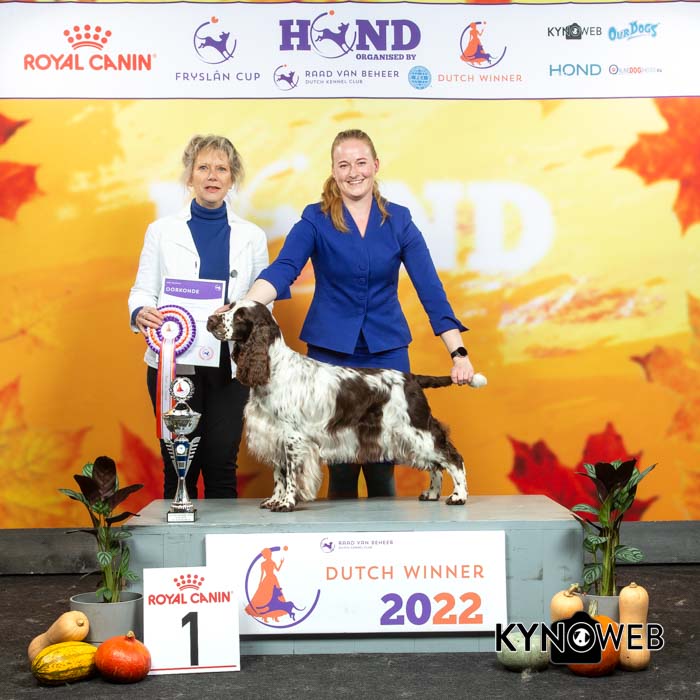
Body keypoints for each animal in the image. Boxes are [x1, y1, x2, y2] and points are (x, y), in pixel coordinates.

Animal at [207, 301, 468, 512]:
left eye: (240, 316)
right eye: (230, 306)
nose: (211, 320)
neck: (274, 367)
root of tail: (413, 378)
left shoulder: (293, 437)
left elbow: (291, 474)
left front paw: (286, 503)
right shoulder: (274, 435)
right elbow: (279, 474)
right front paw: (274, 500)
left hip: (415, 431)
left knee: (452, 458)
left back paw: (459, 496)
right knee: (435, 464)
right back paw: (432, 493)